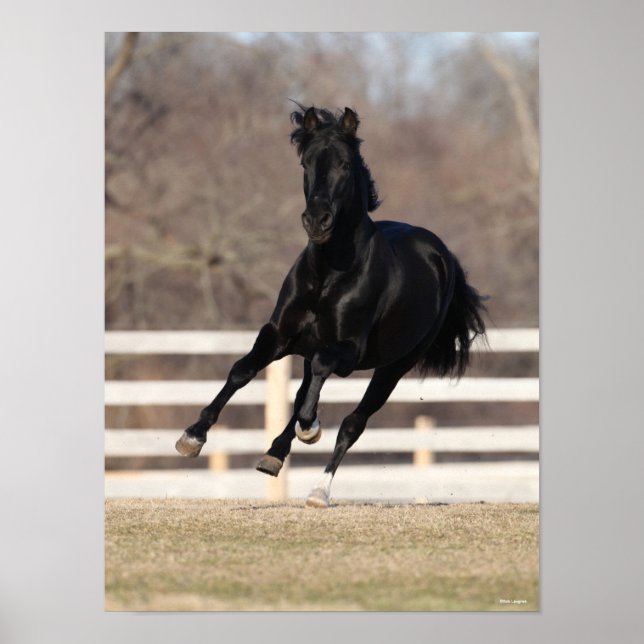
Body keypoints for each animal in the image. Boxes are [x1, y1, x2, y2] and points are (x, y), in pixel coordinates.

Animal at [176, 105, 487, 507]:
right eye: (305, 162)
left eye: (344, 163)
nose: (317, 221)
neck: (329, 274)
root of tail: (443, 255)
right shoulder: (280, 335)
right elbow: (242, 370)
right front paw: (192, 436)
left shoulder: (349, 351)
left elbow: (321, 383)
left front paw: (311, 428)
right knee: (300, 395)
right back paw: (273, 455)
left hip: (395, 366)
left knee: (353, 422)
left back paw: (318, 489)